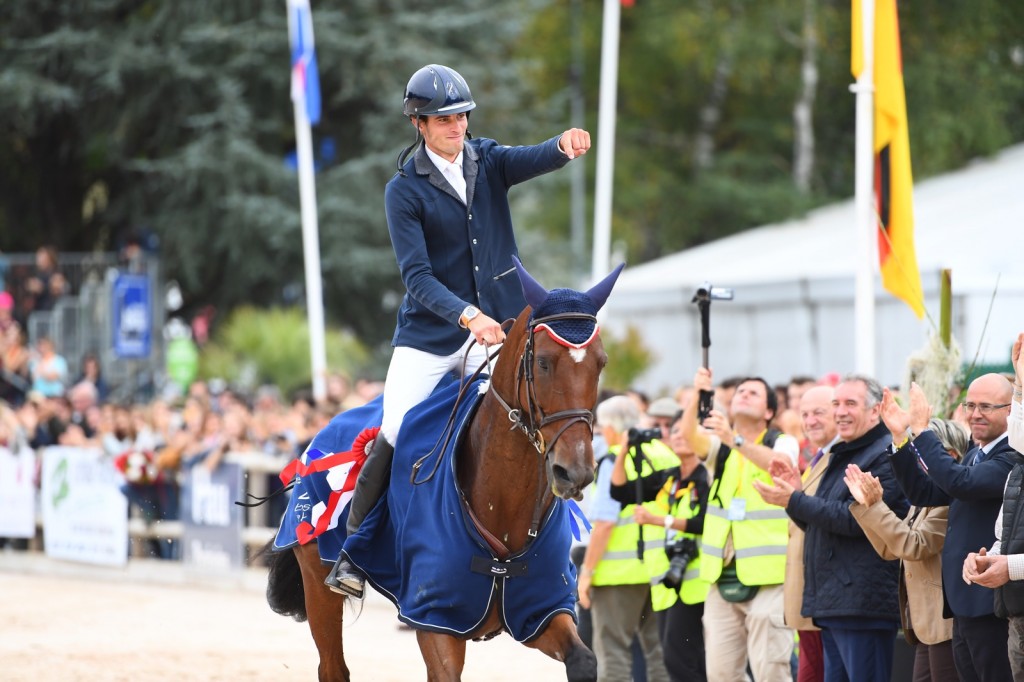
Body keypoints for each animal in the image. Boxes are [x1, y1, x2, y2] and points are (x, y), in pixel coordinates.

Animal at [264, 261, 618, 679]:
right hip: (319, 583)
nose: (574, 472)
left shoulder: (541, 610)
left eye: (601, 363)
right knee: (333, 666)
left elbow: (584, 659)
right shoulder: (436, 620)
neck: (504, 504)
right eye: (544, 361)